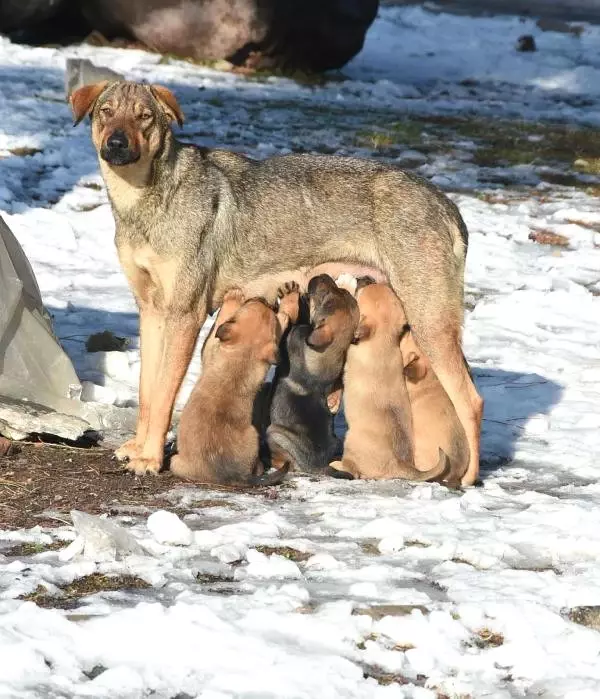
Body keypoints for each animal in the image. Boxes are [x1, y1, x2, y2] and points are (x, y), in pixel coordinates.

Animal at [170, 288, 294, 484]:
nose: (261, 298)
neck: (244, 353)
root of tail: (236, 477)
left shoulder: (210, 349)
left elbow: (221, 321)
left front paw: (233, 297)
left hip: (176, 462)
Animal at [268, 276, 360, 474]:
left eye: (325, 297)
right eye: (342, 292)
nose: (322, 275)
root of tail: (318, 468)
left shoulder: (292, 336)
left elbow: (293, 318)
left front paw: (289, 297)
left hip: (274, 434)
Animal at [328, 278, 450, 482]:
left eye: (363, 290)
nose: (365, 278)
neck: (383, 340)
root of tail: (401, 466)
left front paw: (346, 282)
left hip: (351, 440)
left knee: (353, 470)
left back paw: (336, 464)